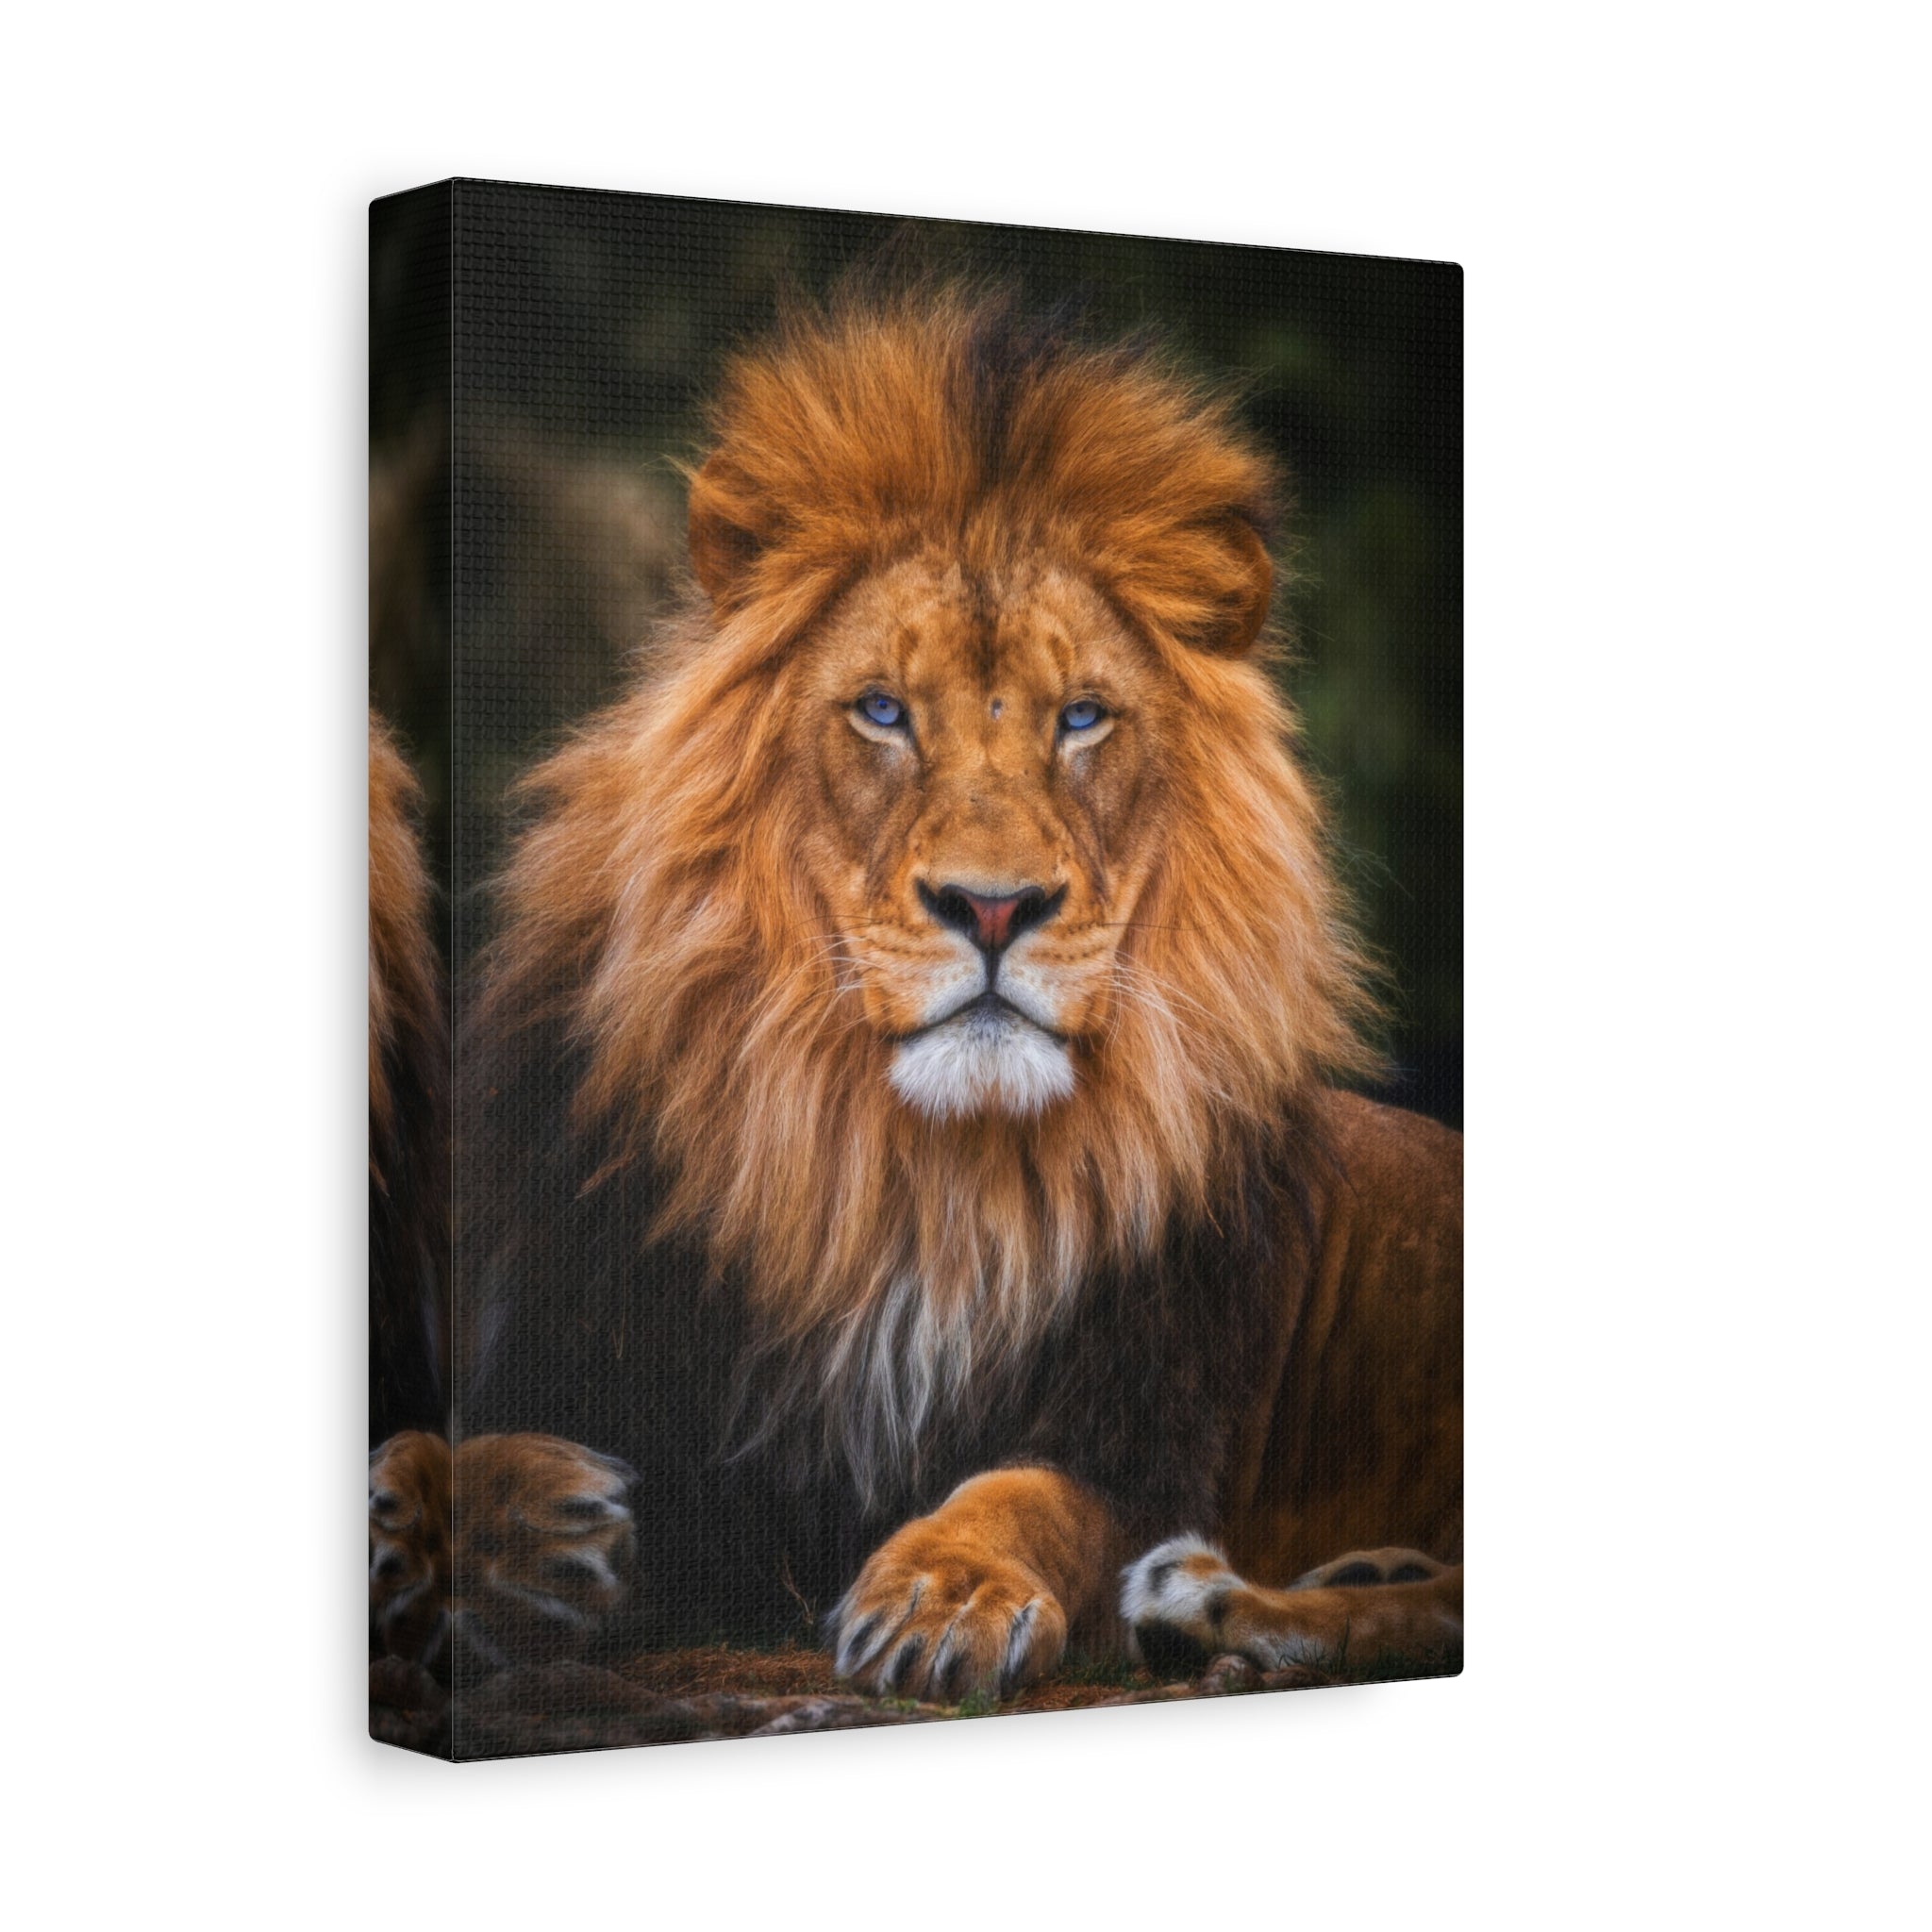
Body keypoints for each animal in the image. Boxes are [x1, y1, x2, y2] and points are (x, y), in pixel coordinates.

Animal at [374, 285, 1462, 1705]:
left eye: (1082, 717)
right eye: (883, 711)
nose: (992, 908)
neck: (918, 1179)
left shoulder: (1147, 1432)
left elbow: (1026, 1496)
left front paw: (947, 1591)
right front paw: (501, 1525)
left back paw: (1212, 1605)